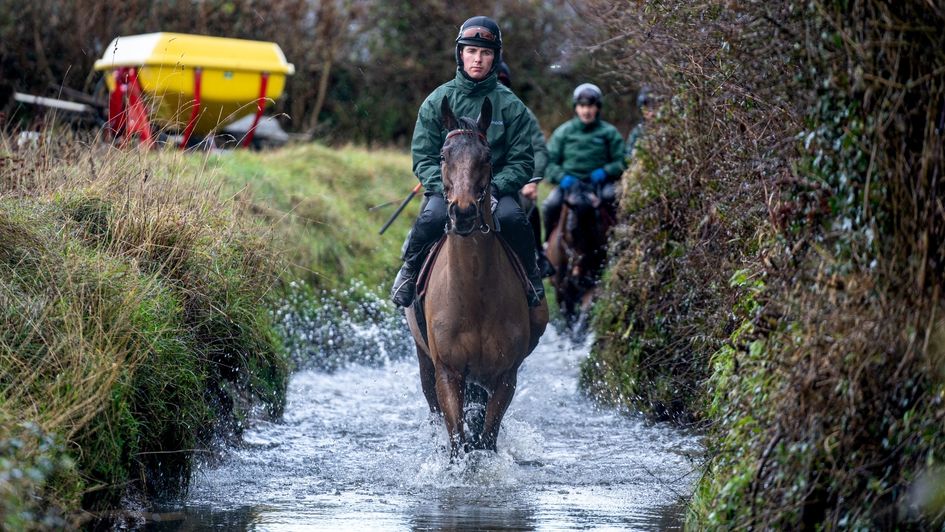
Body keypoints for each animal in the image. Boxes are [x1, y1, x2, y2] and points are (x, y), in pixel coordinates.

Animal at [404, 95, 548, 458]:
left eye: (486, 158)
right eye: (443, 155)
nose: (464, 212)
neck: (474, 294)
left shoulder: (505, 377)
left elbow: (486, 439)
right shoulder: (448, 372)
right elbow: (459, 441)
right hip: (425, 362)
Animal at [544, 181, 616, 334]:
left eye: (595, 230)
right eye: (572, 230)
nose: (581, 278)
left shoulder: (593, 283)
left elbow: (585, 313)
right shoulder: (560, 290)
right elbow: (568, 319)